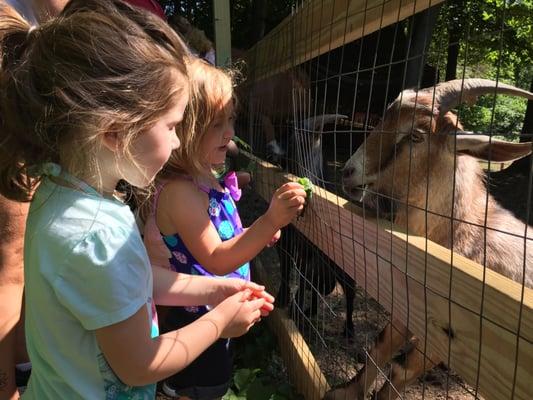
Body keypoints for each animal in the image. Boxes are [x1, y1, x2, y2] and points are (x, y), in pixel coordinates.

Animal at [324, 79, 532, 398]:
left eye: (416, 135)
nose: (348, 172)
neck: (466, 235)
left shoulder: (450, 336)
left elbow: (401, 371)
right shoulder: (409, 301)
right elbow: (383, 342)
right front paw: (346, 392)